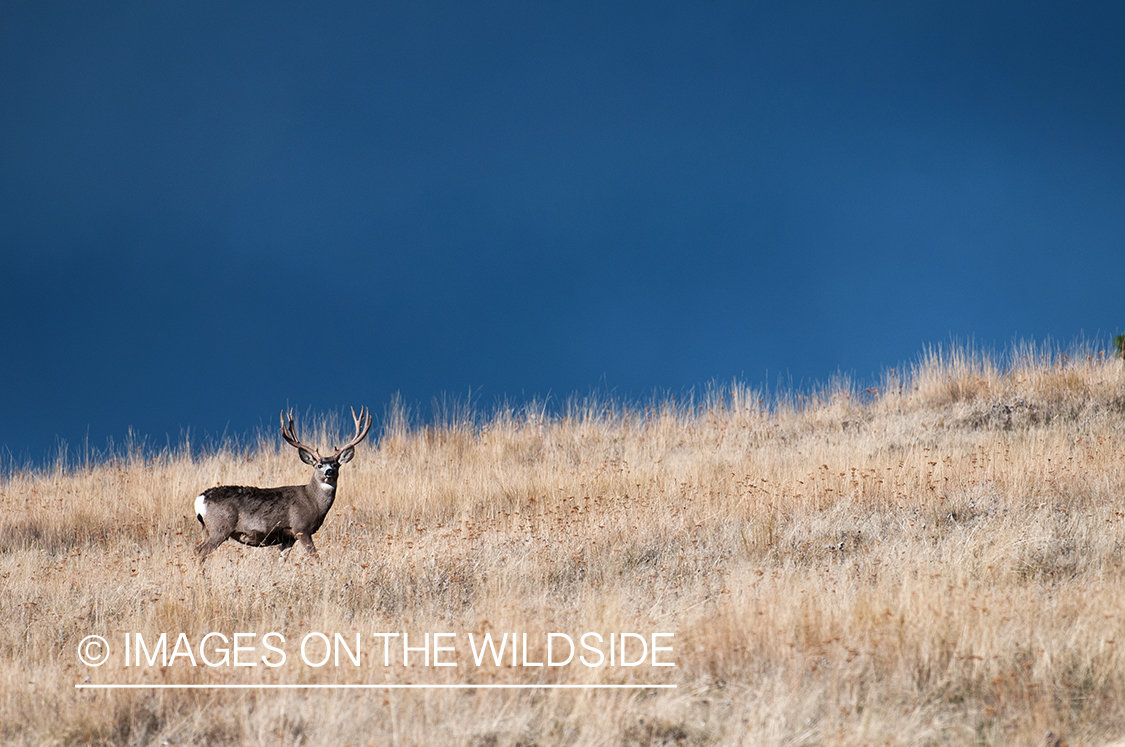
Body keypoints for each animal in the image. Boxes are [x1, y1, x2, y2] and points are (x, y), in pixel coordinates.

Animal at [193, 407, 372, 562]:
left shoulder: (288, 537)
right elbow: (315, 557)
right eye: (319, 465)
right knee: (201, 552)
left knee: (197, 550)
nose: (329, 471)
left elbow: (281, 560)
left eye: (336, 464)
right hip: (220, 526)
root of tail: (200, 499)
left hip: (208, 529)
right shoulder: (301, 528)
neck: (313, 501)